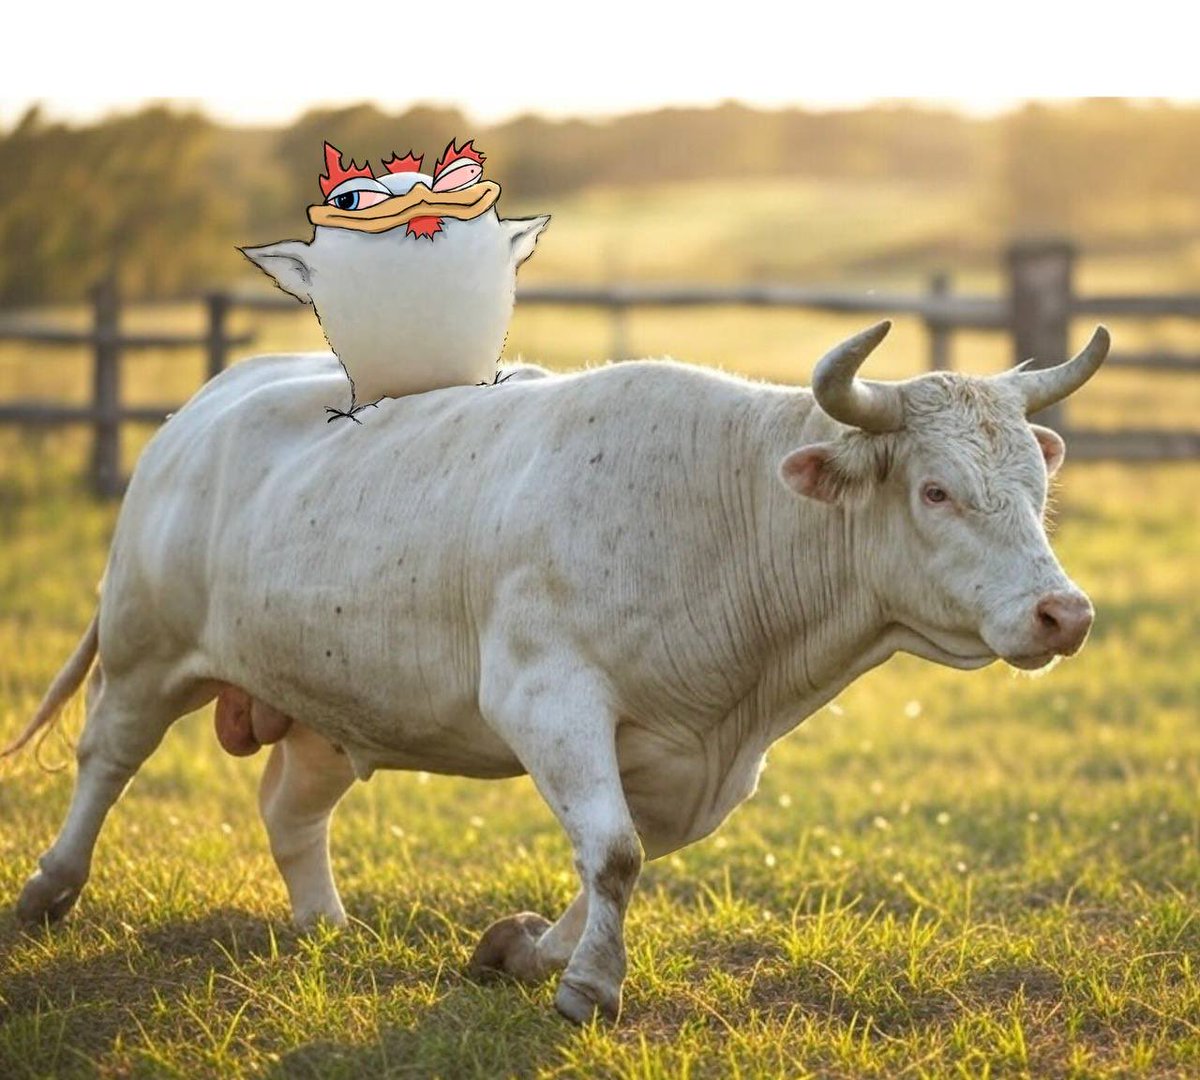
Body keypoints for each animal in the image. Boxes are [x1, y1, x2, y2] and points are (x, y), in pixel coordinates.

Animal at [5, 321, 1107, 1023]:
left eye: (1036, 484)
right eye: (936, 490)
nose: (1065, 614)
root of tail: (206, 404)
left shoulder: (686, 762)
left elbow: (618, 859)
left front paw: (528, 951)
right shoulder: (549, 700)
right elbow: (614, 854)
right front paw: (587, 988)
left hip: (324, 701)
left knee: (290, 808)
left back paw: (326, 925)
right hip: (144, 648)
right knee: (106, 760)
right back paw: (49, 890)